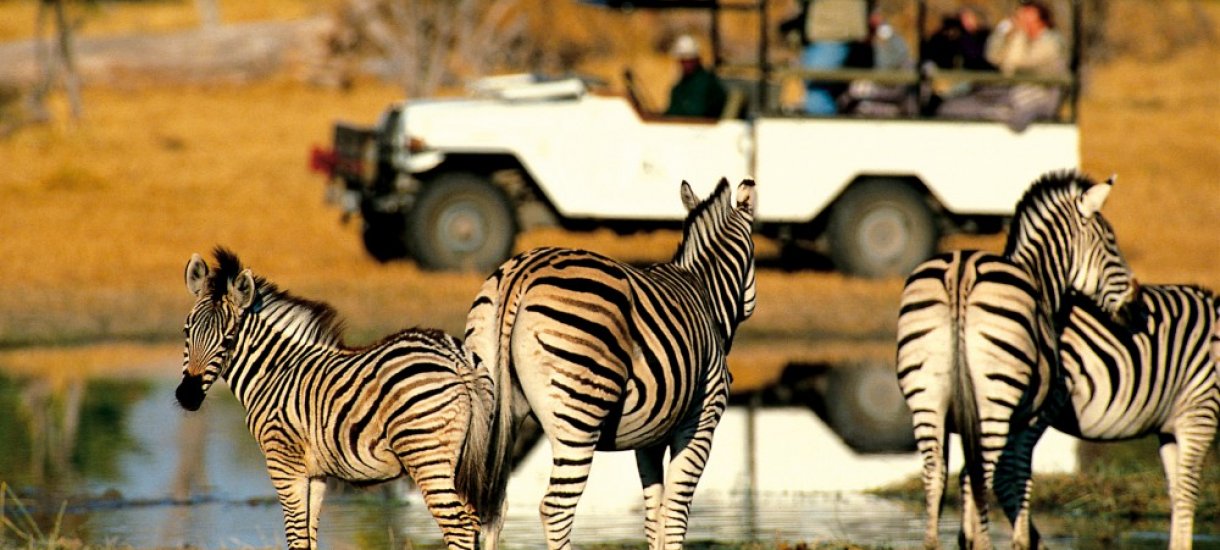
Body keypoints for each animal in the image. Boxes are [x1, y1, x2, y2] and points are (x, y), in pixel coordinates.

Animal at [175, 251, 495, 550]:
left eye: (228, 340)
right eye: (186, 330)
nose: (187, 396)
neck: (276, 371)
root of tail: (455, 358)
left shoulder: (283, 462)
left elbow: (296, 537)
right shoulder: (316, 473)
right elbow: (308, 535)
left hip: (425, 453)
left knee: (459, 527)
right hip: (465, 455)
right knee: (475, 521)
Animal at [463, 179, 756, 548]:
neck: (704, 292)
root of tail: (521, 274)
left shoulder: (650, 436)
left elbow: (655, 515)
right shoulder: (700, 420)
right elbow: (676, 512)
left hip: (491, 406)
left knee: (488, 508)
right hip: (580, 412)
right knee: (555, 509)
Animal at [897, 169, 1141, 548]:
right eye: (1111, 243)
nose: (1135, 309)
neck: (1040, 281)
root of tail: (960, 272)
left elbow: (963, 478)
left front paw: (966, 538)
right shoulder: (1030, 420)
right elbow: (1017, 478)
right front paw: (1017, 539)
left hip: (926, 398)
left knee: (935, 473)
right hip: (996, 400)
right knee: (981, 473)